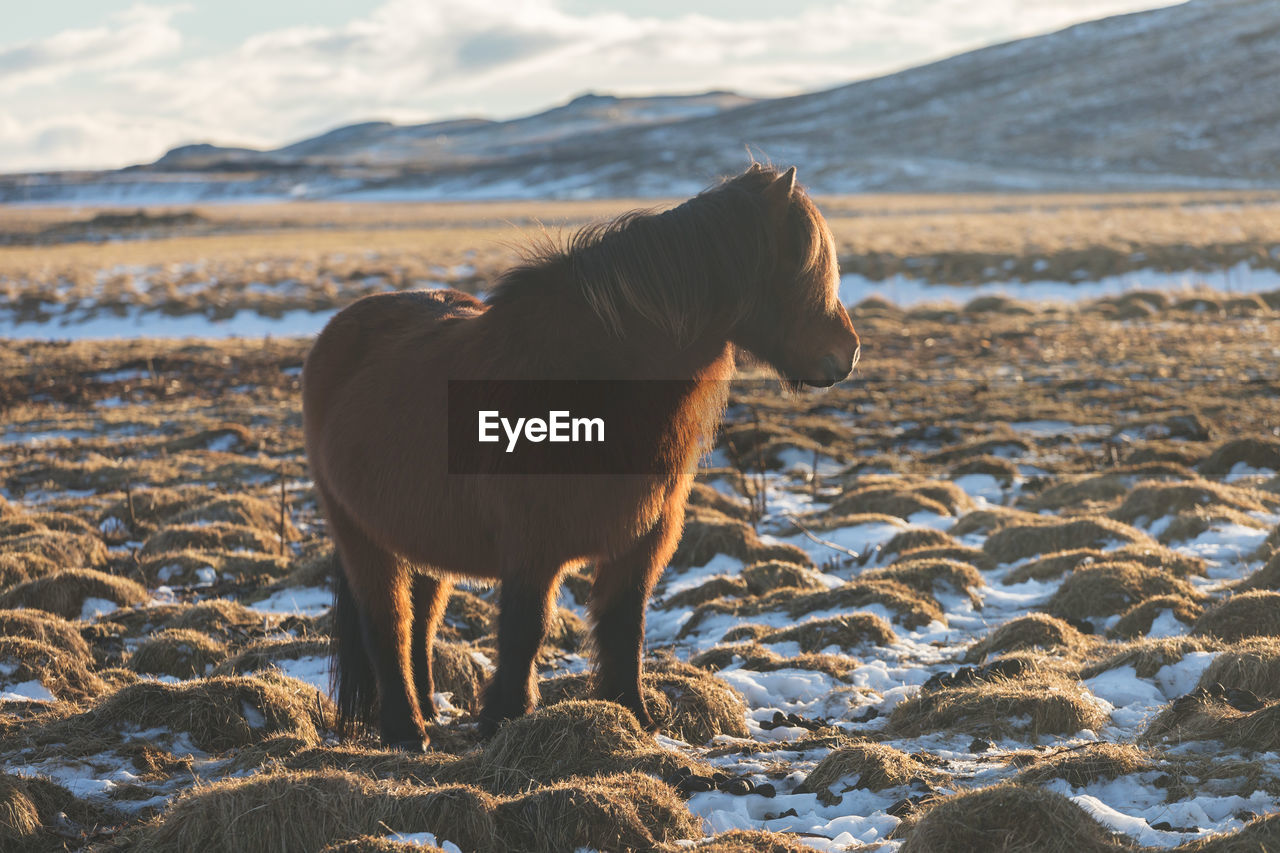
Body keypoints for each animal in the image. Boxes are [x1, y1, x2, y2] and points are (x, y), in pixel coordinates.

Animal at [302, 162, 860, 747]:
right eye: (799, 262)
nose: (848, 354)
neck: (594, 379)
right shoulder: (532, 545)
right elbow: (525, 629)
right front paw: (503, 718)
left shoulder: (644, 539)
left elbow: (623, 625)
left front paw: (634, 716)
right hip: (361, 538)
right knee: (387, 622)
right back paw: (406, 730)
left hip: (423, 535)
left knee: (421, 621)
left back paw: (429, 712)